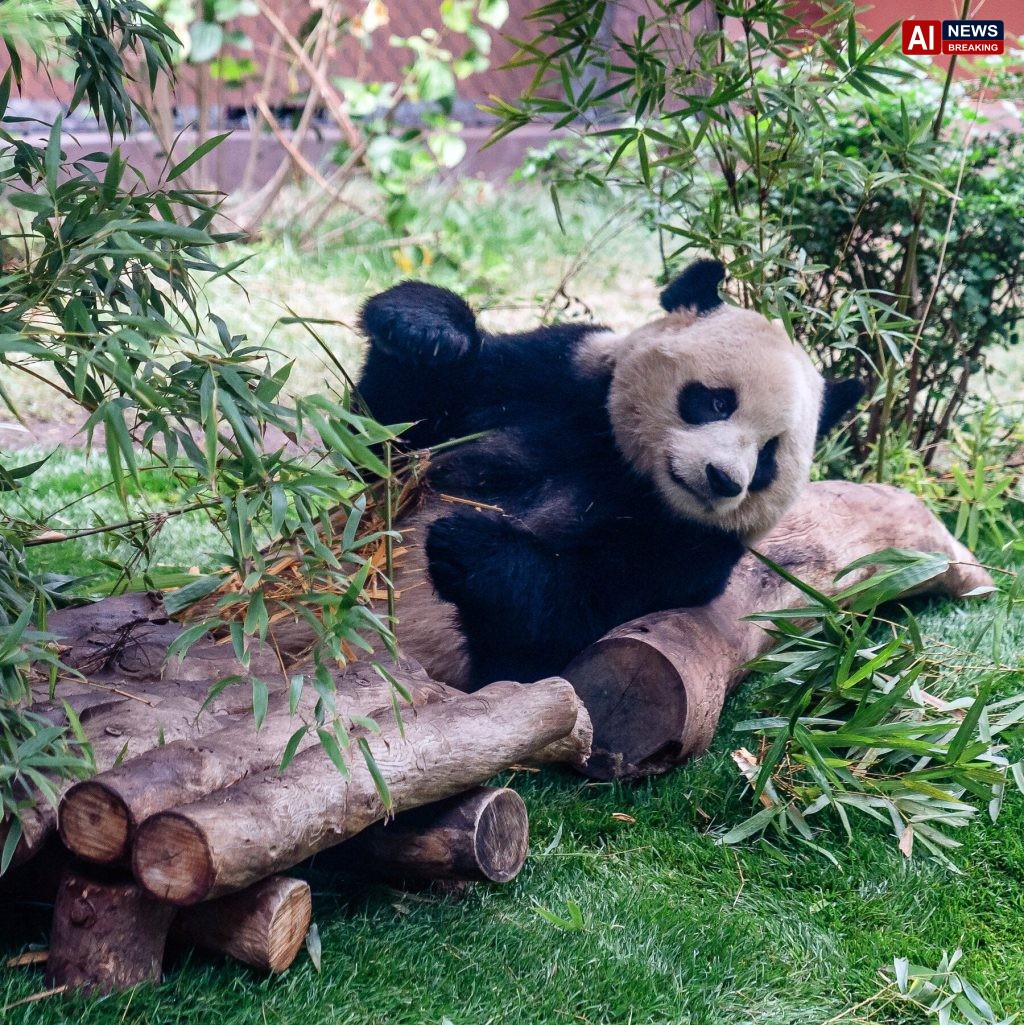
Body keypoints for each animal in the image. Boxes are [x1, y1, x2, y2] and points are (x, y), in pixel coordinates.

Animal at [357, 260, 863, 691]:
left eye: (768, 455)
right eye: (718, 401)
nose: (723, 480)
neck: (627, 471)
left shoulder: (690, 552)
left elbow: (569, 618)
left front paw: (472, 545)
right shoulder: (554, 376)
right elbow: (386, 436)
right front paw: (424, 328)